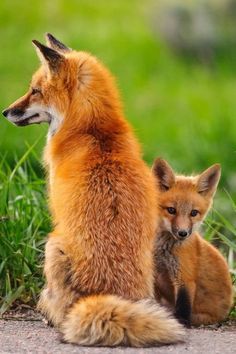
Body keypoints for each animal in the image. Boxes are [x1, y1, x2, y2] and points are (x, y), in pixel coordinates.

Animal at [2, 35, 184, 346]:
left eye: (35, 91)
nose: (5, 112)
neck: (96, 132)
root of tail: (107, 293)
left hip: (52, 245)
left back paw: (53, 319)